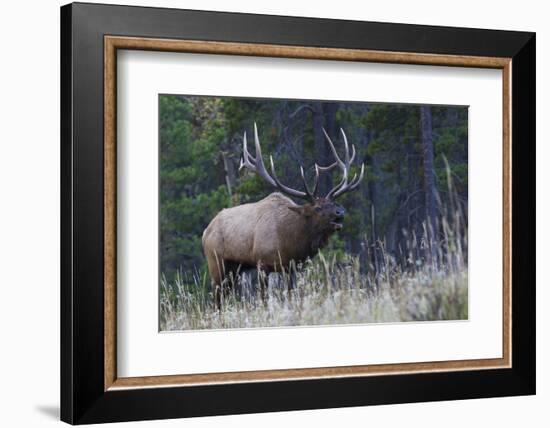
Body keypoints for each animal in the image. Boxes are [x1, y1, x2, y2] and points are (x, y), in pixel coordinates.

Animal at [203, 123, 366, 308]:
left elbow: (291, 295)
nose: (340, 213)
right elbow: (264, 299)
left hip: (235, 269)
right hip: (216, 263)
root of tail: (205, 232)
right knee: (217, 299)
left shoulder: (292, 267)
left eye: (334, 203)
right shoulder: (262, 263)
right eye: (317, 208)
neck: (289, 241)